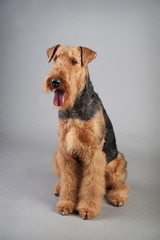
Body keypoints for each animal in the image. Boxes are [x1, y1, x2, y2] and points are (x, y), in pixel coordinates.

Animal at [42, 44, 129, 219]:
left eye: (74, 61)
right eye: (55, 59)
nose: (55, 82)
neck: (74, 107)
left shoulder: (94, 153)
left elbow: (91, 184)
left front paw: (88, 208)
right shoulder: (65, 150)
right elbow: (69, 180)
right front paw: (66, 204)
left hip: (117, 161)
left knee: (119, 185)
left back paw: (117, 197)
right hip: (57, 157)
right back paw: (59, 187)